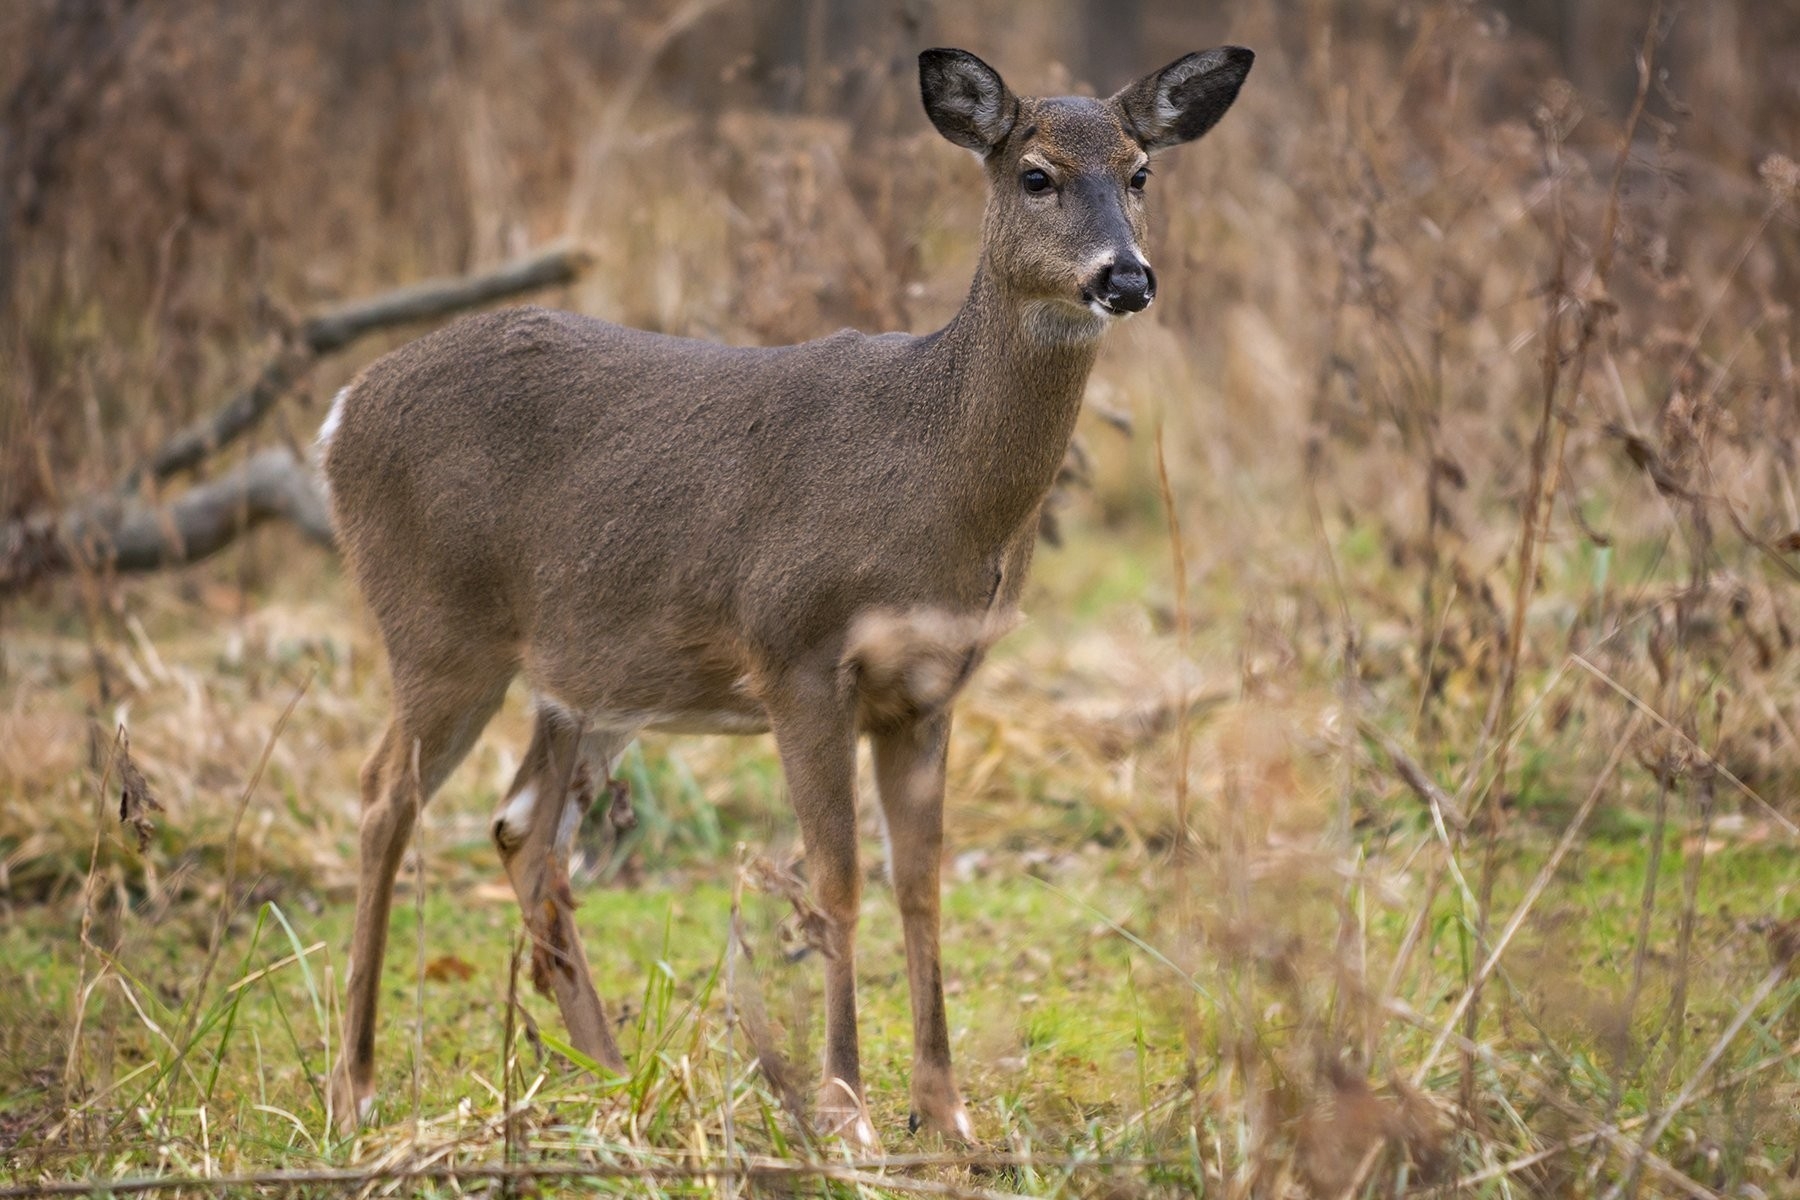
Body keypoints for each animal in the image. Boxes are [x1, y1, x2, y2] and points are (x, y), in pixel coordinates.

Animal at [320, 44, 1252, 1144]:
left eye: (1141, 170)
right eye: (1036, 174)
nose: (1127, 276)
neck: (936, 477)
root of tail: (339, 419)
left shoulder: (930, 686)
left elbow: (920, 883)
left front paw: (946, 1114)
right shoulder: (797, 654)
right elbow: (836, 880)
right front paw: (847, 1110)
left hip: (589, 676)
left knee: (523, 825)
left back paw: (607, 1074)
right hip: (438, 625)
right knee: (385, 794)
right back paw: (355, 1088)